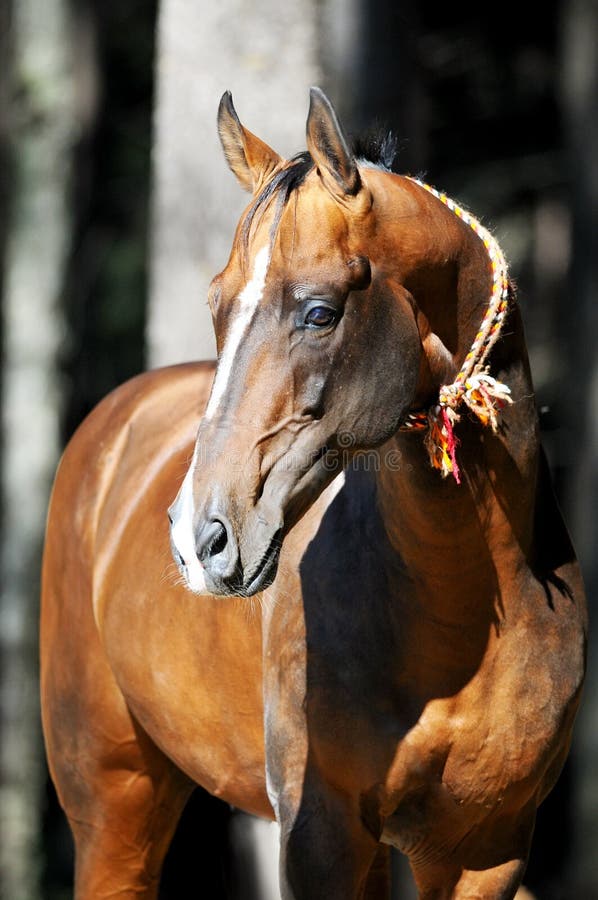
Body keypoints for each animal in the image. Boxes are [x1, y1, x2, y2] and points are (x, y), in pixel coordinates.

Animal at [39, 86, 588, 900]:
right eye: (217, 304)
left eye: (320, 311)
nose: (200, 538)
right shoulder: (320, 836)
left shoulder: (484, 851)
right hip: (114, 800)